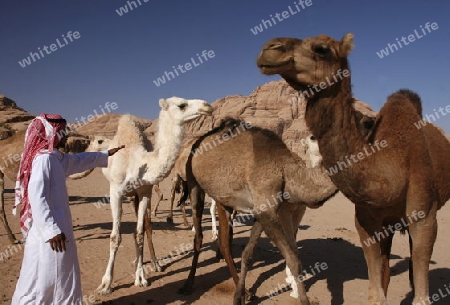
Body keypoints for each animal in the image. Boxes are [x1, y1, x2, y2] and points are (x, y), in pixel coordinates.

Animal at [94, 96, 213, 294]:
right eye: (182, 105)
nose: (207, 106)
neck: (138, 163)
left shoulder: (144, 193)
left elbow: (140, 233)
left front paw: (141, 278)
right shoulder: (116, 192)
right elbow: (115, 237)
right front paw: (105, 284)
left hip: (136, 196)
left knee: (143, 229)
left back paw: (147, 263)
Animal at [178, 119, 338, 304]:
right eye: (313, 137)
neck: (284, 169)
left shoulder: (264, 211)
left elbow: (248, 253)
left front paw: (240, 294)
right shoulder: (267, 208)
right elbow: (293, 259)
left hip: (224, 199)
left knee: (225, 242)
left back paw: (243, 290)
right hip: (193, 183)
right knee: (200, 236)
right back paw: (188, 284)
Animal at [256, 33, 450, 304]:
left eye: (321, 48)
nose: (269, 48)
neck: (393, 164)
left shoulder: (425, 215)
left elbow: (421, 295)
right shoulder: (365, 220)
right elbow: (376, 292)